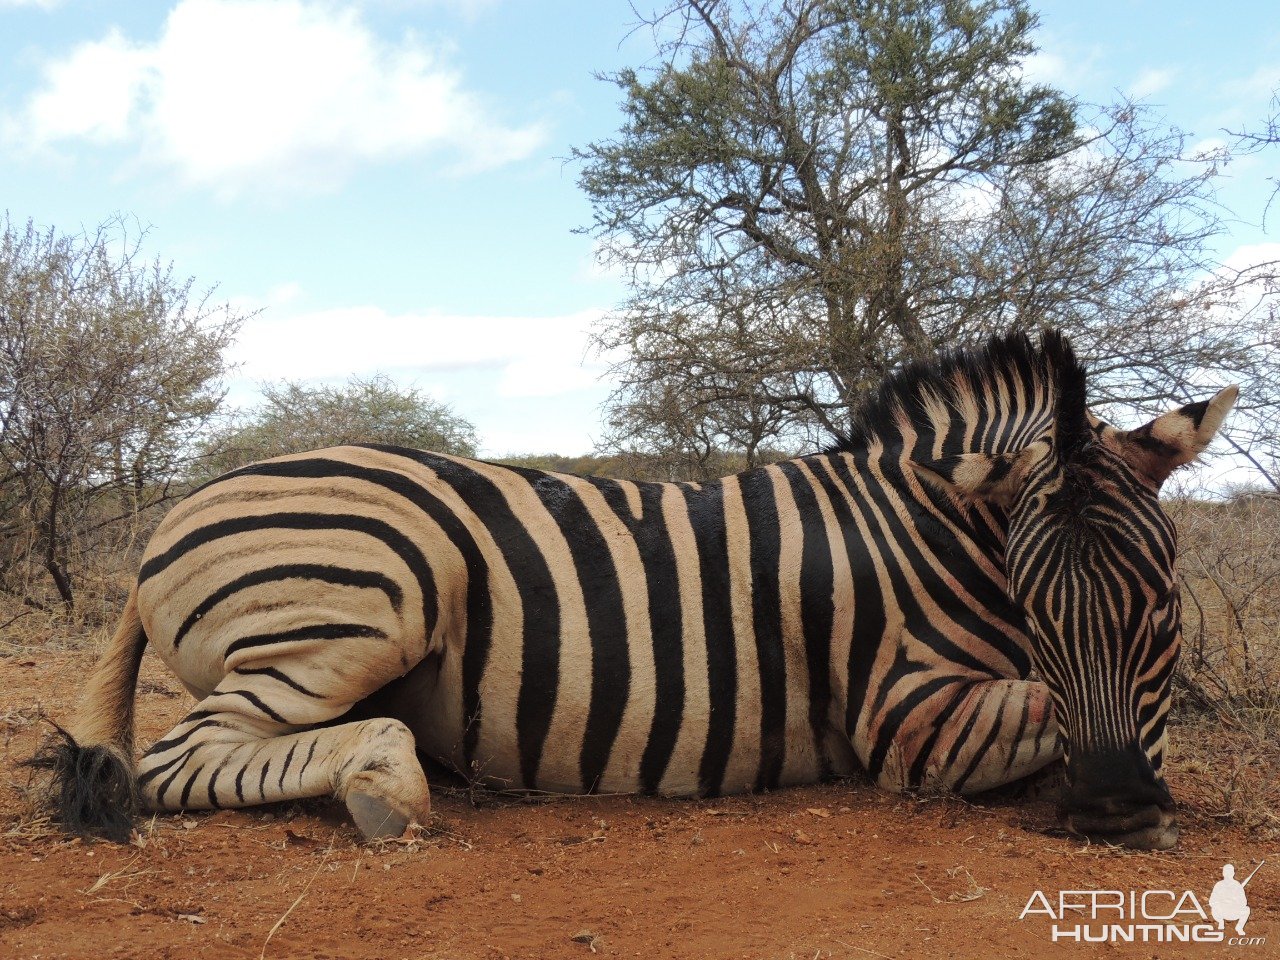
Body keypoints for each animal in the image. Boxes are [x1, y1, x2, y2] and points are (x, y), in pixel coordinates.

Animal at [37, 332, 1239, 849]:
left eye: (1163, 607)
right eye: (1035, 609)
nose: (1113, 809)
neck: (932, 526)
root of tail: (170, 519)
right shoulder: (906, 720)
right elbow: (1039, 708)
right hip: (374, 592)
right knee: (175, 760)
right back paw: (387, 783)